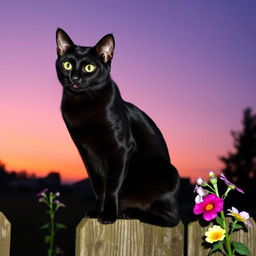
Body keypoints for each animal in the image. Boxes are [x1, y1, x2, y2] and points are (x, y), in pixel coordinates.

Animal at [56, 29, 180, 227]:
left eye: (89, 68)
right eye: (67, 64)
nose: (74, 77)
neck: (83, 103)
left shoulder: (120, 148)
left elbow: (113, 185)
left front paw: (107, 214)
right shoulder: (87, 152)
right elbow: (99, 185)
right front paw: (96, 211)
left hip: (168, 172)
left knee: (171, 218)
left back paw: (130, 212)